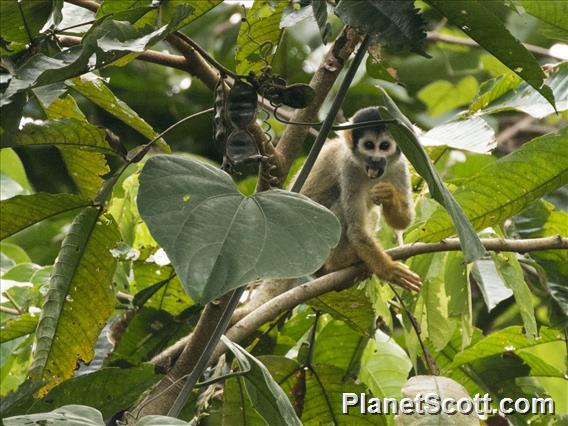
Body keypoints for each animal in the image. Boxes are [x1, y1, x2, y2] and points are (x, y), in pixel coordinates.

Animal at [298, 107, 422, 292]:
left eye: (384, 146)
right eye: (369, 145)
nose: (376, 159)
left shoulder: (400, 165)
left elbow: (404, 221)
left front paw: (389, 195)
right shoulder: (348, 167)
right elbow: (356, 230)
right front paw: (389, 270)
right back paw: (338, 263)